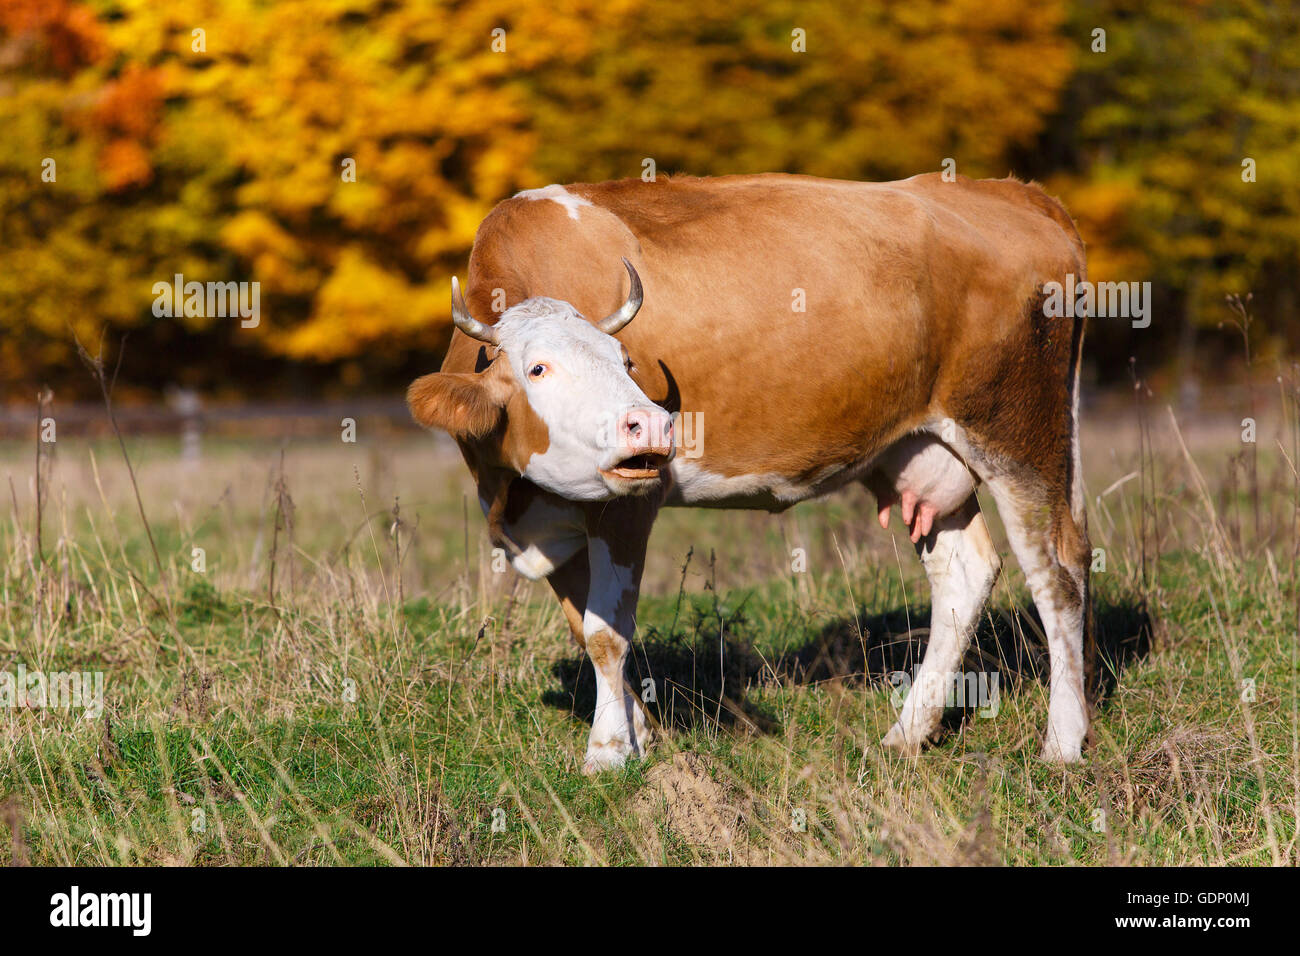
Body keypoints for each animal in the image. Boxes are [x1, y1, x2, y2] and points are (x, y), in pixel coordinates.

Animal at [408, 170, 1097, 770]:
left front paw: (607, 753)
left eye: (625, 360)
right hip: (919, 450)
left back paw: (1063, 742)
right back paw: (907, 733)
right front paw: (640, 735)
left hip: (1019, 434)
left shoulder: (627, 502)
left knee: (1057, 573)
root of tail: (1016, 194)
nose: (653, 426)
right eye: (538, 368)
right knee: (965, 573)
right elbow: (586, 629)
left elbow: (608, 634)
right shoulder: (548, 519)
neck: (513, 497)